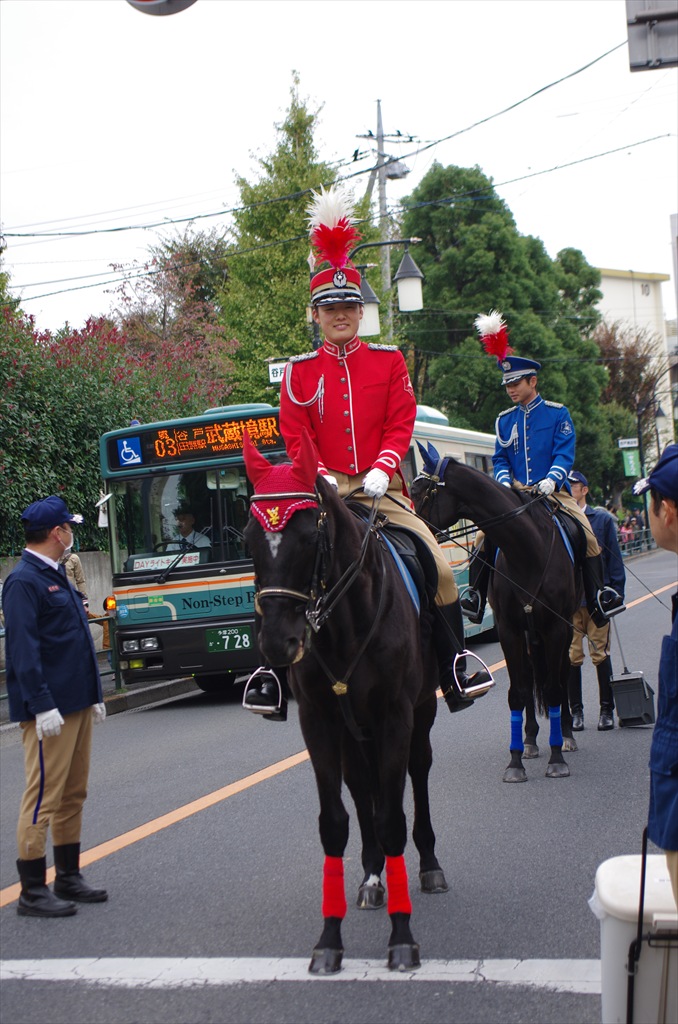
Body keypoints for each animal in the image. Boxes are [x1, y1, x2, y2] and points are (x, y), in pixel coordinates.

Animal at [241, 432, 448, 974]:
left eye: (308, 539)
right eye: (249, 540)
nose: (278, 643)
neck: (341, 624)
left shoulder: (396, 716)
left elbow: (394, 817)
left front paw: (402, 937)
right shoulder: (318, 721)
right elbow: (336, 822)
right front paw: (329, 940)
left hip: (420, 713)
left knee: (417, 774)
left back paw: (429, 865)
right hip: (354, 730)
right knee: (362, 786)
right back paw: (373, 877)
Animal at [409, 448, 585, 782]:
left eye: (417, 490)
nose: (416, 532)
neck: (527, 551)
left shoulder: (556, 627)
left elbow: (554, 689)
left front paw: (557, 757)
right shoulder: (509, 630)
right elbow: (517, 692)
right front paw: (515, 761)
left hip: (563, 627)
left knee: (561, 674)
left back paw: (567, 733)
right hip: (528, 635)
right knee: (529, 679)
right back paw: (529, 740)